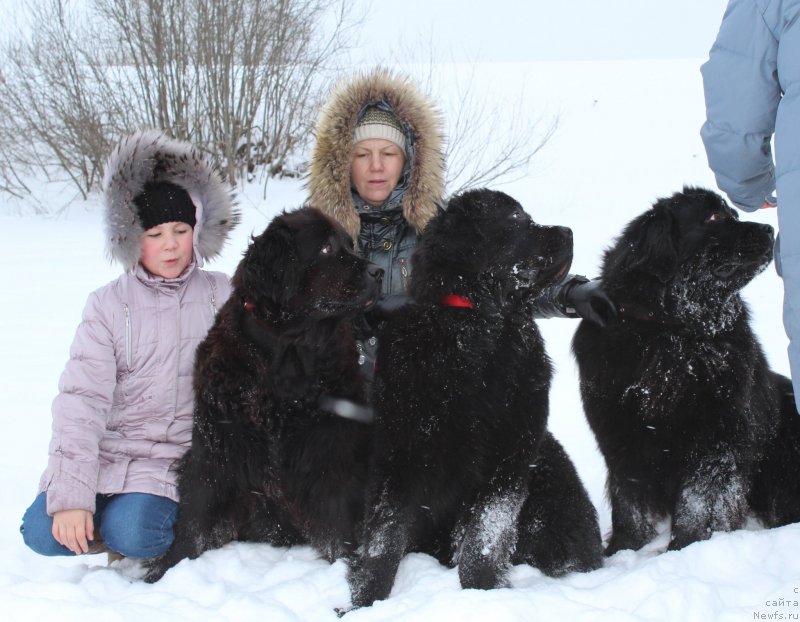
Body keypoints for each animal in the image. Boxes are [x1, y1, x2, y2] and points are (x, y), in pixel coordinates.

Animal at [145, 210, 382, 584]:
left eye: (350, 245)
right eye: (327, 248)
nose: (377, 272)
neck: (288, 356)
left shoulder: (330, 454)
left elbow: (337, 523)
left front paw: (345, 570)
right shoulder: (217, 448)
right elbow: (195, 519)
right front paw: (166, 569)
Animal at [346, 189, 604, 608]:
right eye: (515, 219)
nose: (567, 231)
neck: (476, 329)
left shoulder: (508, 456)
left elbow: (484, 540)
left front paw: (481, 595)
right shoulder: (399, 457)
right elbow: (383, 543)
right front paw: (362, 602)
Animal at [572, 186, 800, 556]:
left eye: (734, 214)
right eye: (714, 216)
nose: (769, 229)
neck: (673, 334)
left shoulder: (717, 436)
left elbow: (700, 499)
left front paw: (686, 545)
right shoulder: (619, 434)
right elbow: (628, 502)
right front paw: (622, 550)